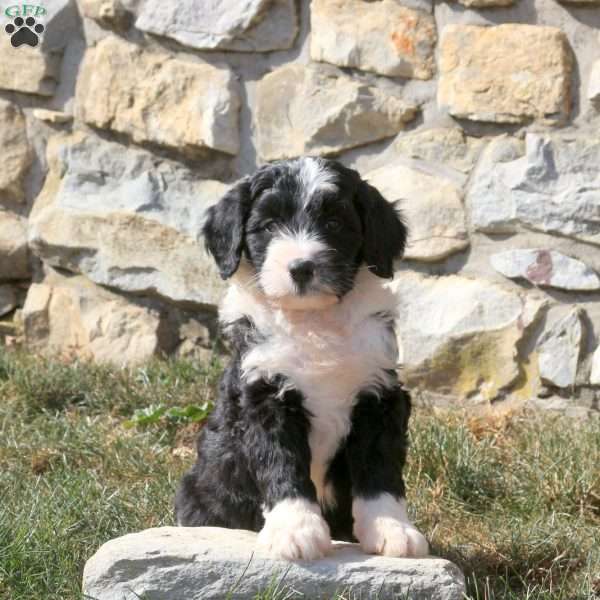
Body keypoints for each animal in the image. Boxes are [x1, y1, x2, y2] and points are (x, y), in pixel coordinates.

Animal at [176, 157, 428, 560]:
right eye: (268, 226)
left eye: (334, 224)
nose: (301, 267)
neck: (313, 320)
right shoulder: (263, 396)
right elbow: (281, 462)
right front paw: (295, 531)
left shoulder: (379, 394)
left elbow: (380, 467)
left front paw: (393, 529)